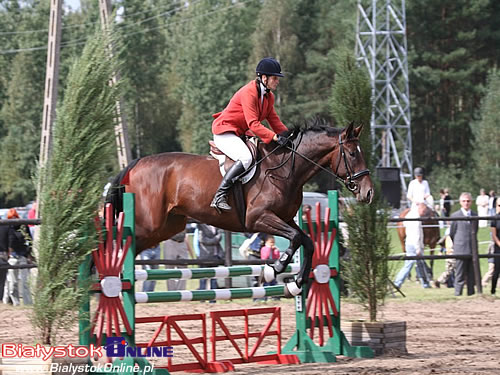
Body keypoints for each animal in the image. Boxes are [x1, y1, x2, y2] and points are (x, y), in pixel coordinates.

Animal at [106, 122, 372, 298]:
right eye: (351, 154)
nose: (368, 193)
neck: (284, 169)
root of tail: (135, 164)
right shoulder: (258, 219)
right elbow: (297, 238)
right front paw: (274, 270)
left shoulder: (285, 218)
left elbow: (307, 241)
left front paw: (295, 283)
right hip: (149, 224)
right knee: (117, 242)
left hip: (167, 226)